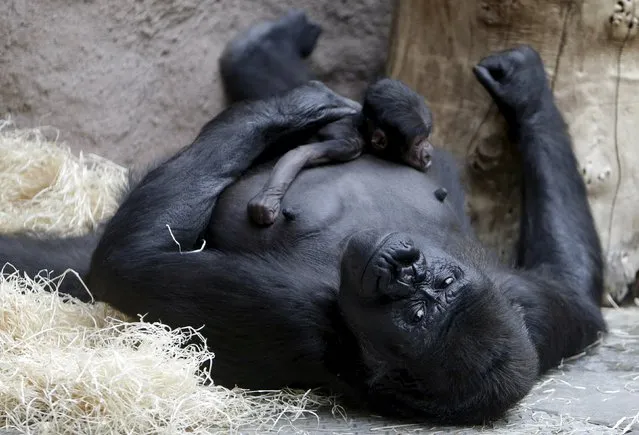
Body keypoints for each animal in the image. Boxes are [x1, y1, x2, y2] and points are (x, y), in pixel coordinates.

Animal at [246, 79, 436, 227]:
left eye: (427, 136)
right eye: (418, 143)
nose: (429, 151)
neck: (362, 129)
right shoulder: (349, 144)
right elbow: (302, 153)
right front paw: (266, 202)